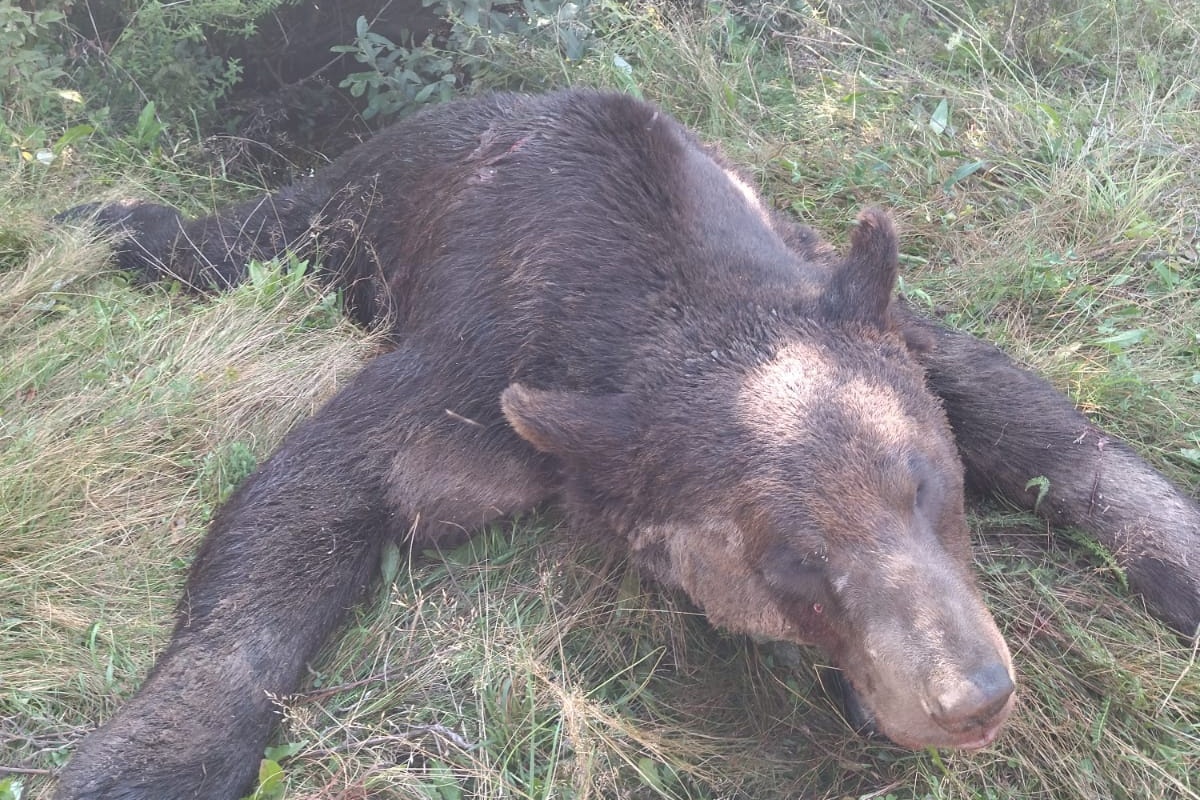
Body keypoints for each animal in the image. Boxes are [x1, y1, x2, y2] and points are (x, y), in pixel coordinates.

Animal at [51, 89, 1195, 800]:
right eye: (792, 564)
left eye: (930, 485)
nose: (972, 694)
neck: (662, 271)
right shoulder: (480, 367)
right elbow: (308, 491)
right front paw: (155, 753)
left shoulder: (843, 301)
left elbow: (1033, 417)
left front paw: (1173, 551)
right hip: (366, 201)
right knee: (247, 237)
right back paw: (108, 221)